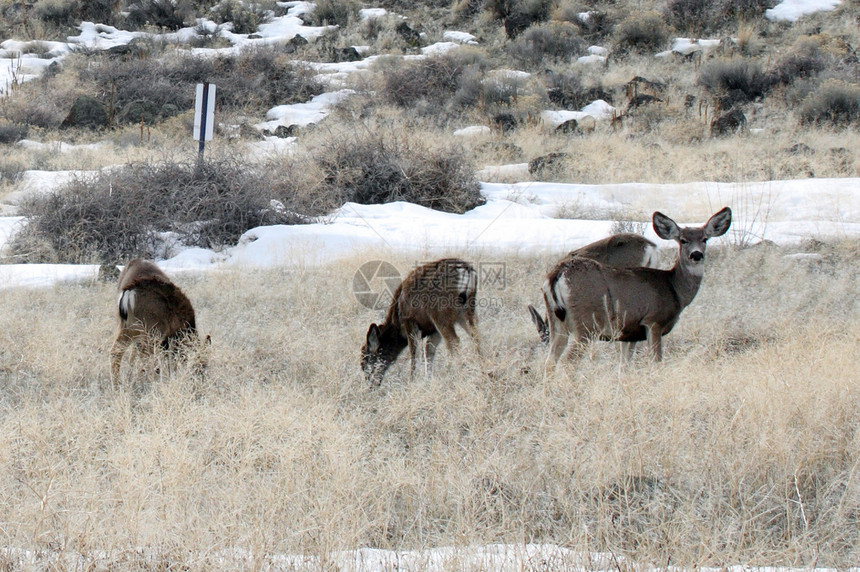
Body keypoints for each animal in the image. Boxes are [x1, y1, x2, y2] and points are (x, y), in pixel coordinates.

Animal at [540, 207, 728, 376]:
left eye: (705, 239)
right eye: (683, 240)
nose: (696, 255)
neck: (673, 288)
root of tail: (557, 274)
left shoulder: (629, 333)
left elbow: (624, 366)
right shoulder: (653, 321)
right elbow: (656, 362)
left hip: (557, 322)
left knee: (550, 362)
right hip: (586, 324)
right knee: (567, 362)